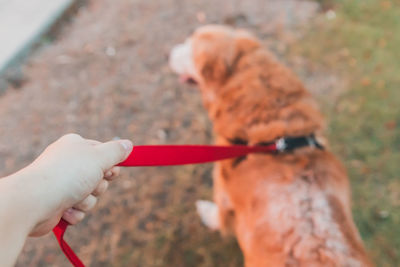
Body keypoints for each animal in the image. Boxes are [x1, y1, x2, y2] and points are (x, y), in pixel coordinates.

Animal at [169, 25, 372, 267]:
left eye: (191, 44)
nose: (169, 52)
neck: (276, 130)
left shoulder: (223, 190)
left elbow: (218, 216)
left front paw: (207, 213)